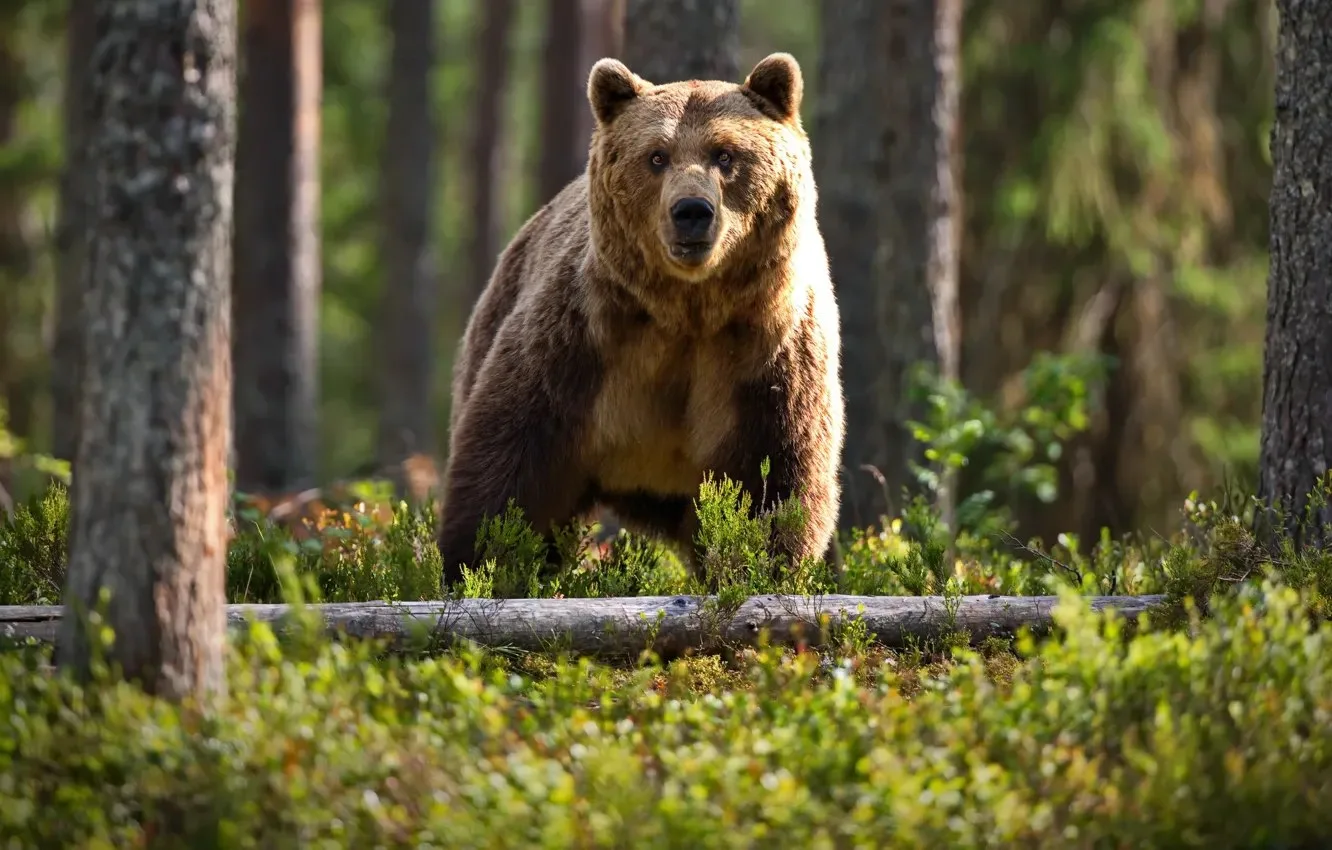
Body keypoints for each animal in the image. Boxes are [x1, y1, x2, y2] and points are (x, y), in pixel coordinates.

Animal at [436, 52, 845, 591]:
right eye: (656, 156)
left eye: (725, 155)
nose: (691, 211)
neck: (686, 310)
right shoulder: (581, 340)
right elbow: (509, 467)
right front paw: (477, 566)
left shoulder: (767, 357)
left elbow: (775, 481)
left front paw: (766, 571)